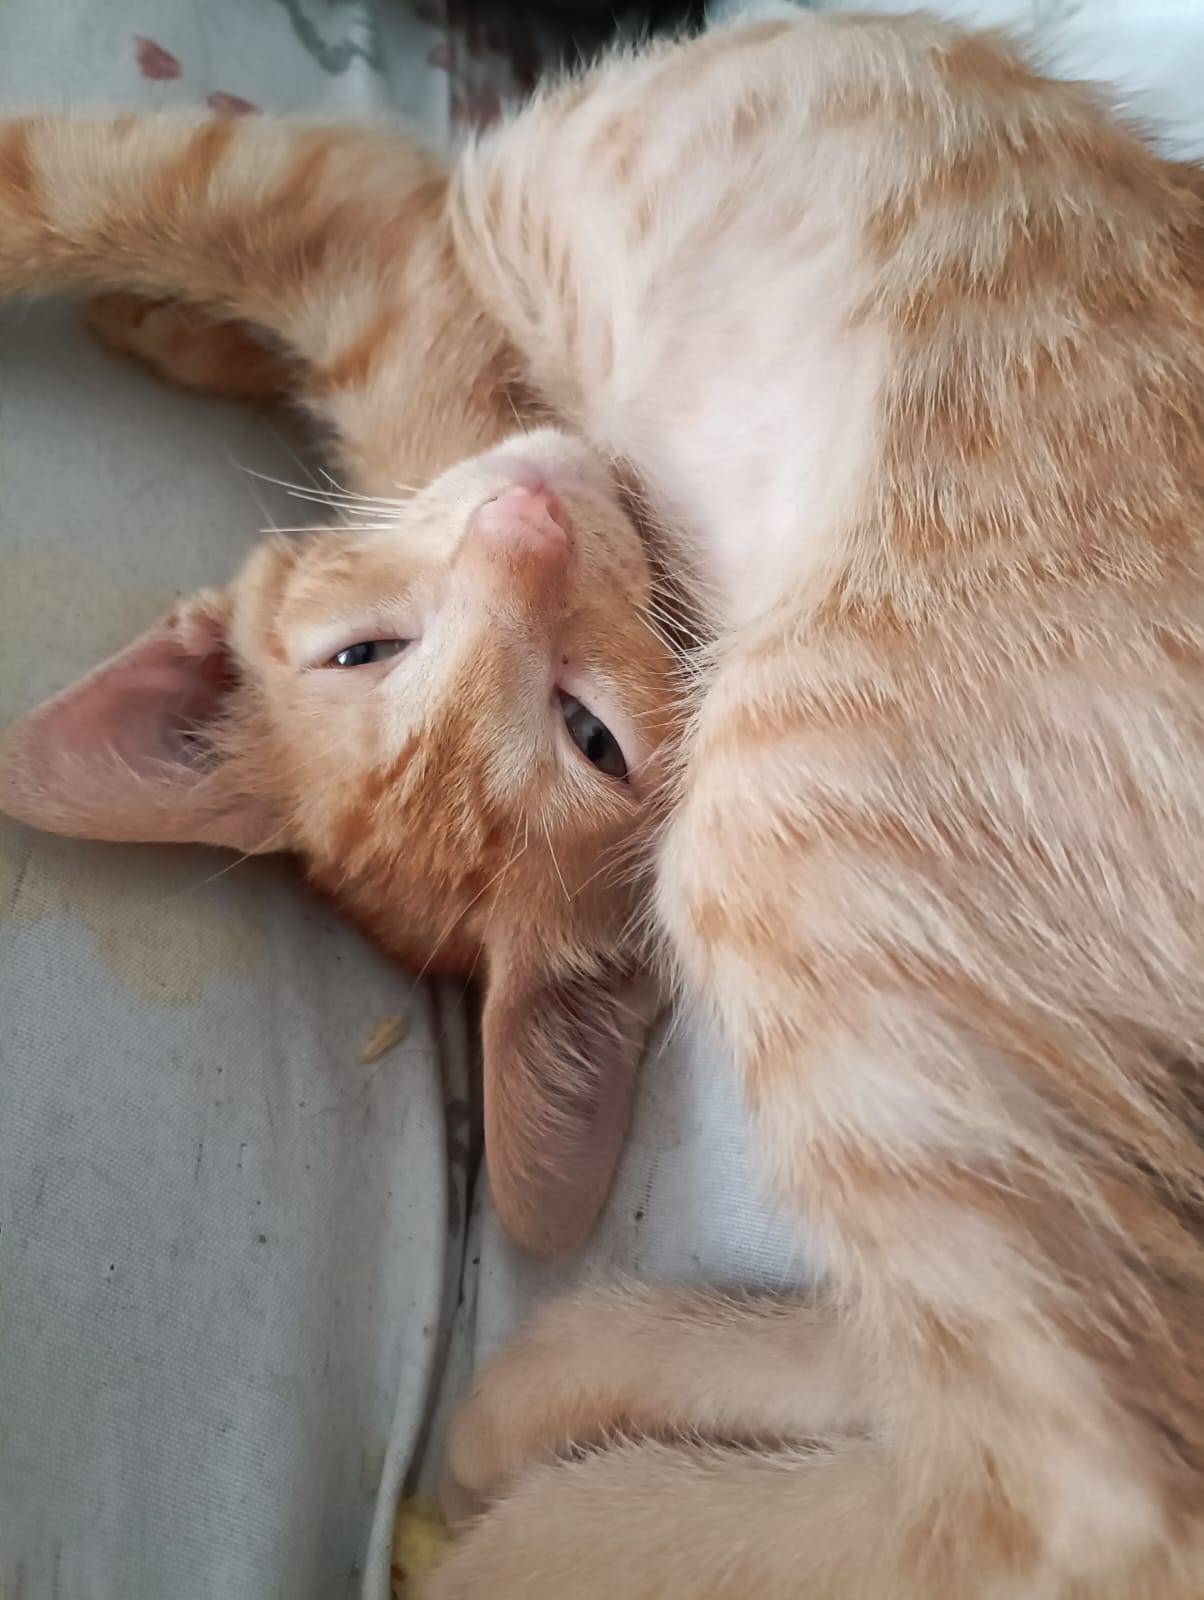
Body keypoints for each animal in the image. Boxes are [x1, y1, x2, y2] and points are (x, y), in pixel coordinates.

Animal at [3, 7, 1204, 1594]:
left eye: (587, 734)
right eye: (361, 654)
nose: (527, 522)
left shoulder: (373, 233)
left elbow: (81, 180)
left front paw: (151, 308)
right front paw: (166, 333)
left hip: (783, 811)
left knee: (1081, 1489)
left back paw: (551, 1522)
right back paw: (558, 1390)